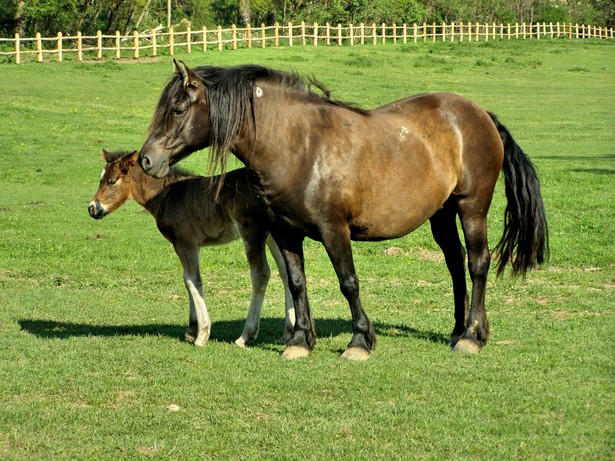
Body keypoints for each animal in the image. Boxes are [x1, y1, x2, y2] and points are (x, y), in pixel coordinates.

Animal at [138, 59, 548, 360]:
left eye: (178, 109)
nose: (146, 160)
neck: (299, 146)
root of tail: (479, 114)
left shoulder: (334, 230)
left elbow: (348, 283)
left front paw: (360, 342)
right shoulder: (285, 232)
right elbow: (297, 282)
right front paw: (300, 342)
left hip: (471, 208)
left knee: (477, 264)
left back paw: (472, 336)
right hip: (442, 214)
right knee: (455, 264)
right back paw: (460, 330)